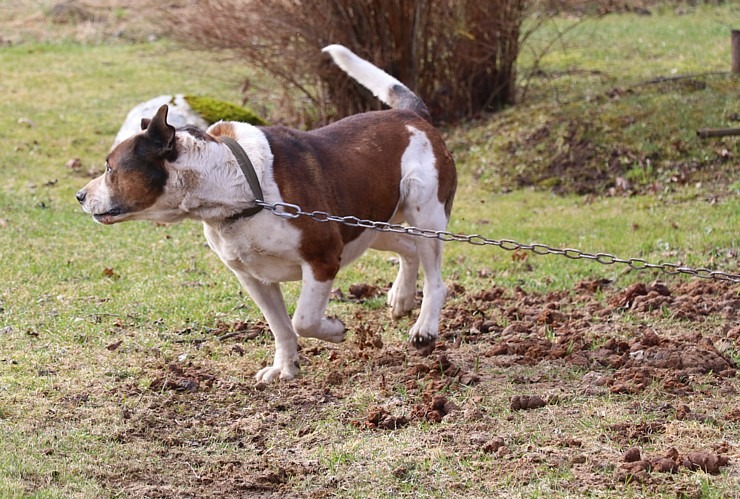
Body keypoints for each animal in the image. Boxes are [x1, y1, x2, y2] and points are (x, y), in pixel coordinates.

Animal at [76, 46, 456, 382]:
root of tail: (412, 116)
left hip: (425, 215)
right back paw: (401, 298)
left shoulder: (322, 259)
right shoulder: (252, 277)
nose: (80, 196)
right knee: (407, 248)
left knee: (435, 279)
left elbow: (303, 319)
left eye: (110, 168)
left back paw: (424, 328)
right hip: (367, 225)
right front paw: (285, 369)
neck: (234, 187)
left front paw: (334, 331)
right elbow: (281, 327)